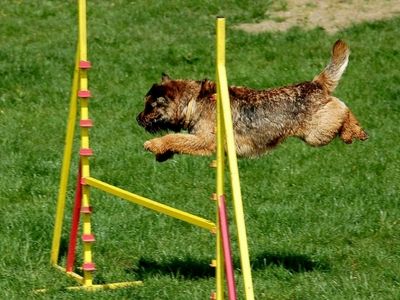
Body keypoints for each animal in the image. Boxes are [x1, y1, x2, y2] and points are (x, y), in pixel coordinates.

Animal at [138, 40, 368, 162]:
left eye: (150, 106)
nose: (137, 118)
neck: (194, 102)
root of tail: (314, 84)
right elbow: (177, 139)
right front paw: (162, 153)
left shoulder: (205, 141)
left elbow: (175, 137)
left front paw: (154, 144)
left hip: (317, 132)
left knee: (342, 109)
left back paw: (353, 132)